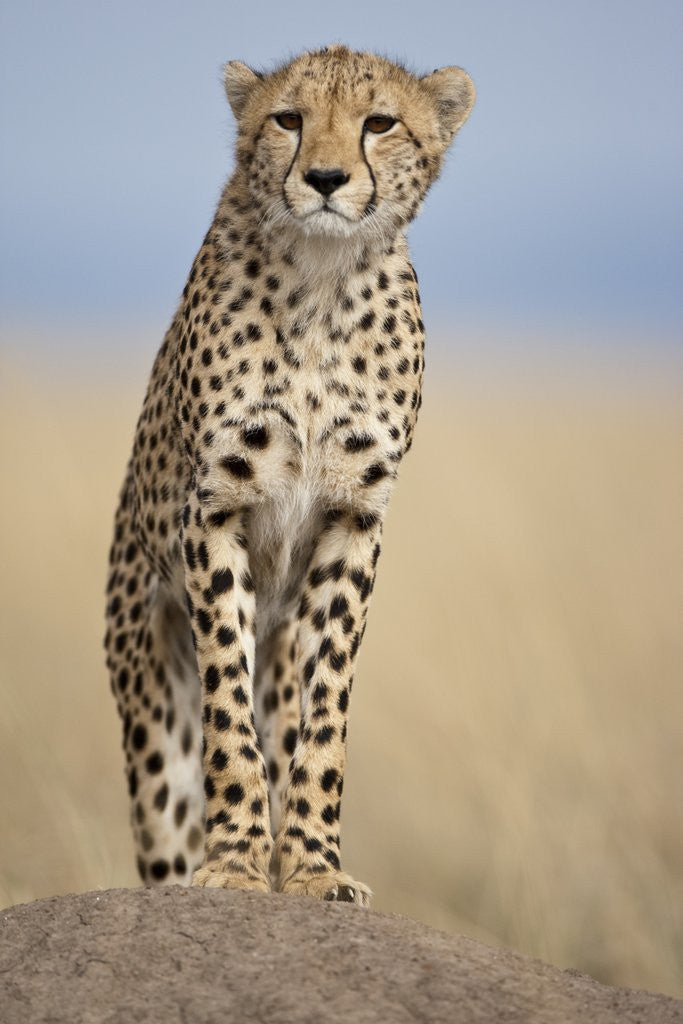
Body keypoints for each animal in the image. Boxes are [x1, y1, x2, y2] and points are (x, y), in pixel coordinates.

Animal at [105, 43, 474, 905]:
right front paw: (235, 865)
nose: (327, 178)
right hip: (148, 688)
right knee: (166, 813)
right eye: (288, 119)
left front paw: (312, 866)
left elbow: (326, 713)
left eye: (380, 123)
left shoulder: (353, 520)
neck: (323, 280)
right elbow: (227, 716)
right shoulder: (216, 510)